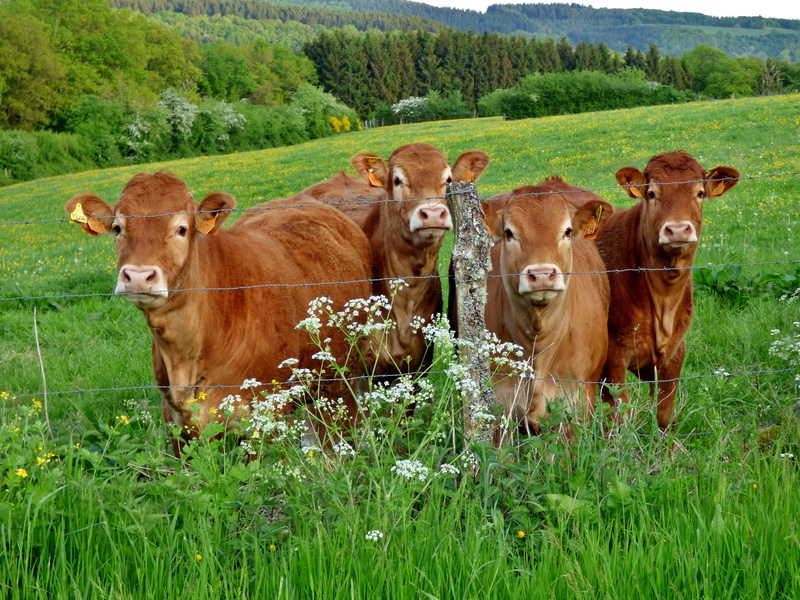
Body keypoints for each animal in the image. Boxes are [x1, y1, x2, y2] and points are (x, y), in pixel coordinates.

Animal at [65, 171, 373, 456]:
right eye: (117, 228)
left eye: (182, 229)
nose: (139, 276)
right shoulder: (175, 424)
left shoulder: (267, 419)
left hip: (342, 377)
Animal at [594, 150, 740, 430]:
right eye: (652, 193)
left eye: (699, 193)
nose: (678, 229)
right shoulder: (613, 356)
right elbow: (620, 417)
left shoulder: (675, 351)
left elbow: (663, 415)